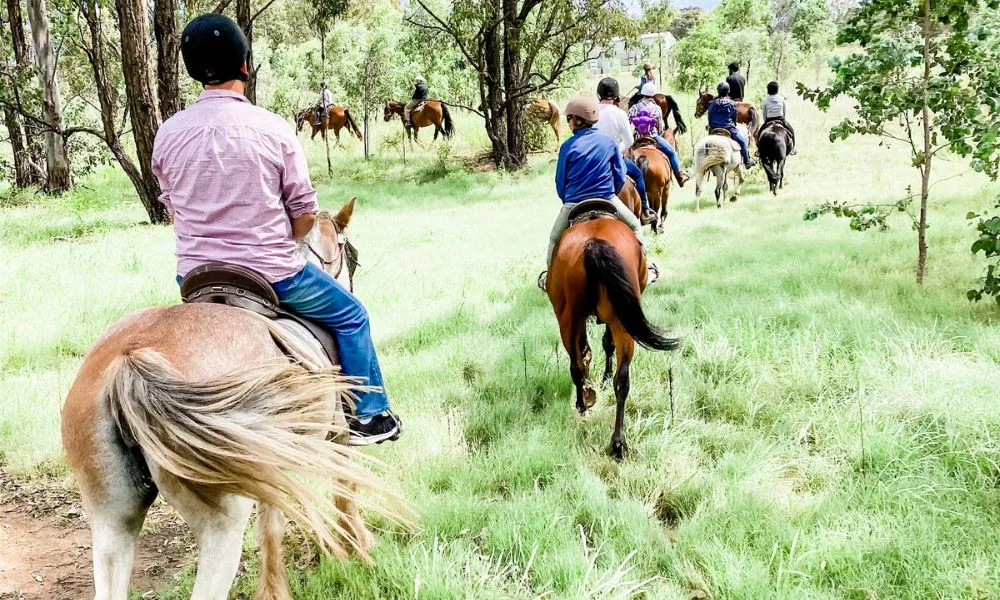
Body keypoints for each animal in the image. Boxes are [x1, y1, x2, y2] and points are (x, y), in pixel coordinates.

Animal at [61, 198, 405, 599]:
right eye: (353, 256)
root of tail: (129, 360)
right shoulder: (337, 437)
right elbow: (344, 493)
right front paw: (359, 550)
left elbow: (271, 528)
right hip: (220, 524)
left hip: (111, 518)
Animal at [546, 209, 681, 460]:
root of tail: (593, 243)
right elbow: (603, 346)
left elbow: (590, 350)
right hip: (616, 321)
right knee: (621, 378)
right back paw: (617, 443)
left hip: (570, 319)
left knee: (578, 365)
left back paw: (586, 406)